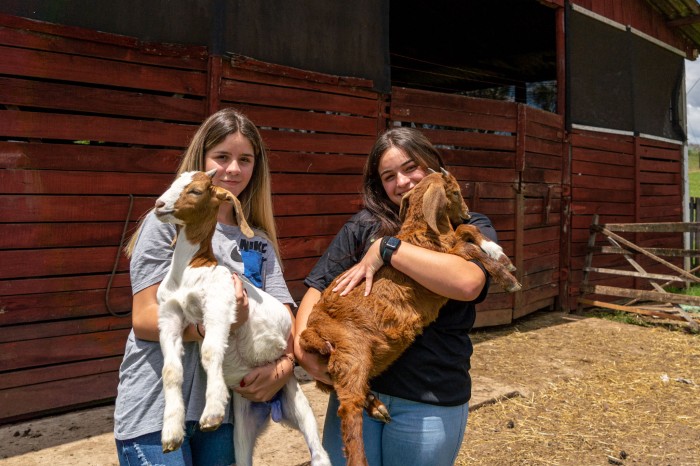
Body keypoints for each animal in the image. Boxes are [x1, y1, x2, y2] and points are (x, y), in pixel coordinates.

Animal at [154, 170, 330, 466]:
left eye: (196, 191)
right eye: (173, 183)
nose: (159, 205)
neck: (190, 269)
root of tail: (271, 407)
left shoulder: (220, 302)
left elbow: (210, 351)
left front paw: (212, 412)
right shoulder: (170, 315)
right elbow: (170, 370)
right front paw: (171, 434)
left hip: (297, 400)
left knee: (319, 451)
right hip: (243, 424)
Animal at [298, 170, 524, 466]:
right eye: (455, 191)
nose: (466, 214)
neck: (422, 232)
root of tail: (309, 333)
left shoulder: (449, 246)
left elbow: (466, 234)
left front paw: (499, 253)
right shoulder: (448, 259)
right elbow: (468, 247)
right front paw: (508, 279)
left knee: (347, 390)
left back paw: (377, 407)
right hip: (351, 350)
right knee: (348, 408)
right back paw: (361, 454)